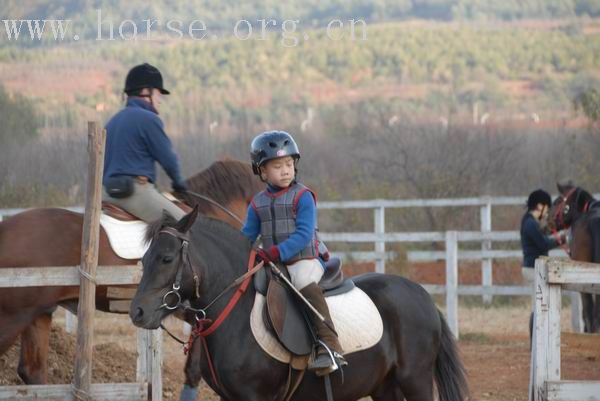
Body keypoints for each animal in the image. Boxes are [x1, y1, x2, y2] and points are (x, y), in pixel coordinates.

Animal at [129, 208, 472, 398]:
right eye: (143, 259)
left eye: (167, 258)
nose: (138, 312)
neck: (235, 313)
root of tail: (421, 295)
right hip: (384, 387)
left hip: (415, 381)